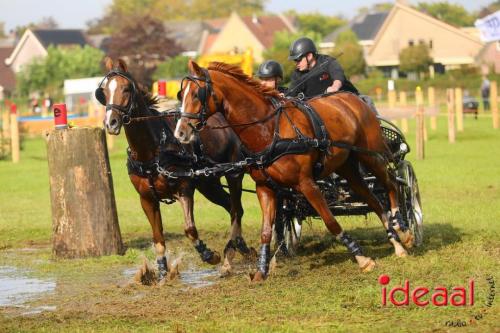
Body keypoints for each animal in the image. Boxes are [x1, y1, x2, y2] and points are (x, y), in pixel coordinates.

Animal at [97, 58, 254, 278]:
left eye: (126, 88)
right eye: (104, 91)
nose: (110, 122)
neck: (152, 152)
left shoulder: (184, 190)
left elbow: (189, 229)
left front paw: (208, 254)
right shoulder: (147, 199)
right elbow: (158, 237)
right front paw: (163, 269)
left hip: (234, 175)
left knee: (236, 209)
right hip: (209, 185)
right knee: (230, 207)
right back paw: (241, 247)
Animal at [176, 59, 414, 280]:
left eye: (197, 94)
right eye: (181, 94)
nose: (180, 132)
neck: (268, 129)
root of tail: (352, 99)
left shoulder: (306, 184)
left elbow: (330, 221)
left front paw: (362, 258)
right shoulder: (265, 187)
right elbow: (266, 232)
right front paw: (261, 271)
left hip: (370, 155)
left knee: (392, 183)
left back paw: (403, 228)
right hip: (347, 167)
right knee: (373, 199)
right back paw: (396, 242)